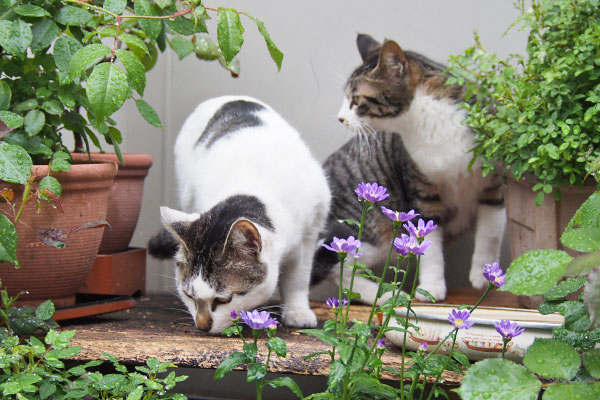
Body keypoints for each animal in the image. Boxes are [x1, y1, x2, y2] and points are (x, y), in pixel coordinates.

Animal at [148, 95, 330, 332]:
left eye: (224, 299)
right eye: (189, 295)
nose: (202, 326)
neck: (252, 187)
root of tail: (226, 97)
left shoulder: (309, 232)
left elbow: (298, 279)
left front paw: (297, 311)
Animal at [312, 34, 504, 302]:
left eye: (356, 99)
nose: (341, 118)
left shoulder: (492, 183)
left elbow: (491, 231)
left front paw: (485, 274)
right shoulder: (421, 190)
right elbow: (427, 242)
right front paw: (432, 287)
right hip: (368, 231)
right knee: (335, 266)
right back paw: (384, 294)